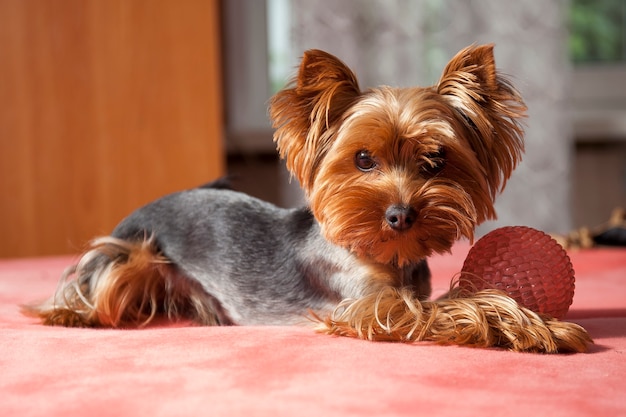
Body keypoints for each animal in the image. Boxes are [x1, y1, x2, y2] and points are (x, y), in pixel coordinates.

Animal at [23, 44, 588, 352]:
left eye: (435, 161)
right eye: (363, 160)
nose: (400, 214)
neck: (387, 256)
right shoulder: (370, 307)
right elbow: (460, 309)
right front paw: (545, 329)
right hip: (132, 255)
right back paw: (68, 313)